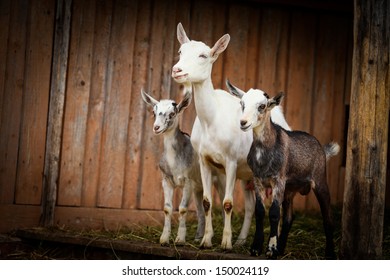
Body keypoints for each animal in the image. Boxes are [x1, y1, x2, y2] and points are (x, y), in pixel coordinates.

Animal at [172, 22, 290, 249]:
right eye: (180, 51)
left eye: (203, 55)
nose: (177, 70)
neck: (212, 120)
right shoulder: (205, 161)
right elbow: (207, 202)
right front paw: (207, 241)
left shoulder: (232, 161)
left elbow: (227, 203)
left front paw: (225, 242)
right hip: (248, 174)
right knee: (251, 205)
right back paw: (242, 239)